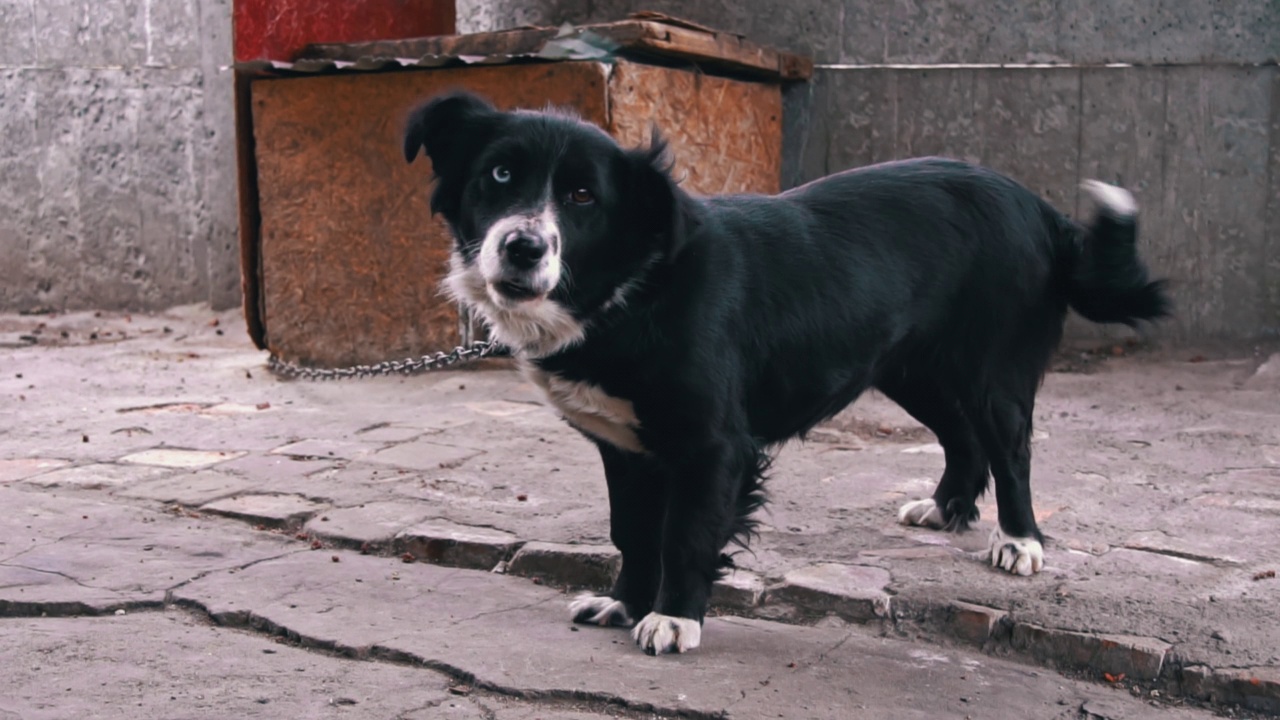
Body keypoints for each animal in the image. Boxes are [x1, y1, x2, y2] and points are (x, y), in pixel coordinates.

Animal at [401, 88, 1172, 650]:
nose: (523, 247)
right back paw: (948, 507)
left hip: (991, 371)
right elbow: (632, 532)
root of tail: (1039, 207)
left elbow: (684, 535)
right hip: (909, 367)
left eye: (584, 197)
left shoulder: (714, 445)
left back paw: (1019, 542)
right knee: (962, 439)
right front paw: (624, 604)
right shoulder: (625, 445)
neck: (632, 288)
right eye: (499, 175)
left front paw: (674, 619)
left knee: (1009, 450)